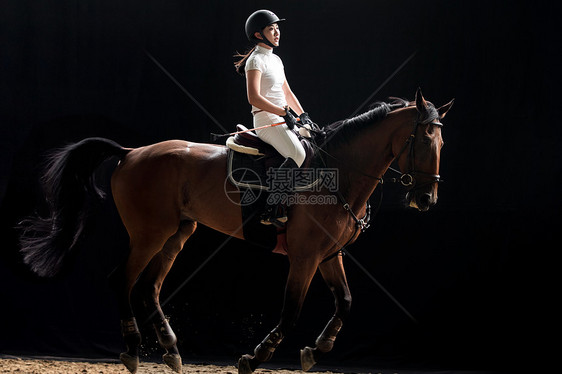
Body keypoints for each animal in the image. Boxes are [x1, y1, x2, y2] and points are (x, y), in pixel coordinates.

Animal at [19, 88, 452, 374]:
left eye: (442, 142)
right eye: (423, 139)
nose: (426, 198)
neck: (339, 176)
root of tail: (132, 153)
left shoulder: (330, 254)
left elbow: (344, 302)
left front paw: (317, 349)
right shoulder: (305, 257)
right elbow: (291, 312)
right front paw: (256, 357)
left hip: (177, 233)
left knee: (149, 286)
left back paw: (171, 350)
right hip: (149, 233)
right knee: (122, 279)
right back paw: (132, 349)